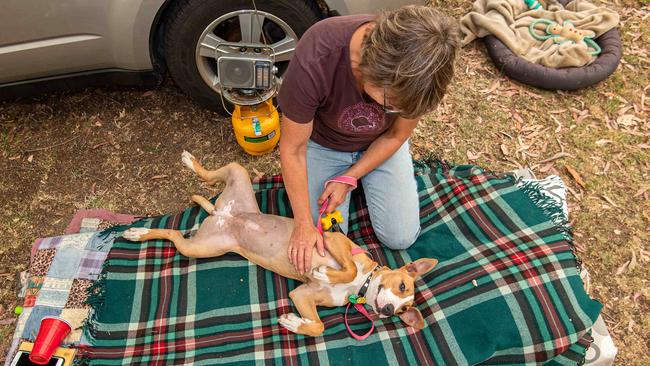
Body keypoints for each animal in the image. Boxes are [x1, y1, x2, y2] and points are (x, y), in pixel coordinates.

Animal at [121, 152, 436, 338]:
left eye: (402, 311)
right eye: (403, 286)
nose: (388, 310)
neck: (362, 285)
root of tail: (221, 213)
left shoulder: (303, 295)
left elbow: (319, 325)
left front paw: (295, 323)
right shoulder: (332, 240)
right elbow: (344, 267)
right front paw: (326, 272)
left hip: (206, 244)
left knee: (176, 233)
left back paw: (143, 230)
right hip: (236, 176)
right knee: (201, 188)